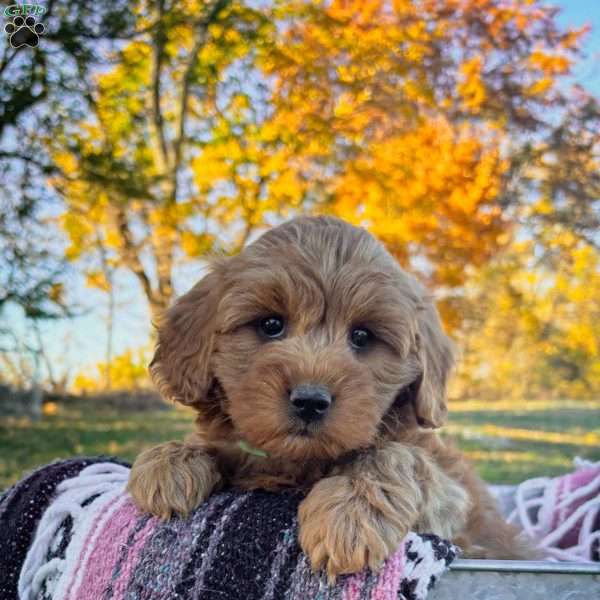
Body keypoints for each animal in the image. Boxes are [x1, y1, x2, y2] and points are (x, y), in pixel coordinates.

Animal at [129, 214, 532, 576]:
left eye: (363, 336)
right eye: (271, 324)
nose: (310, 401)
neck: (298, 463)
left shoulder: (454, 500)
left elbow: (392, 454)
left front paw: (349, 513)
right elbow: (212, 444)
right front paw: (169, 463)